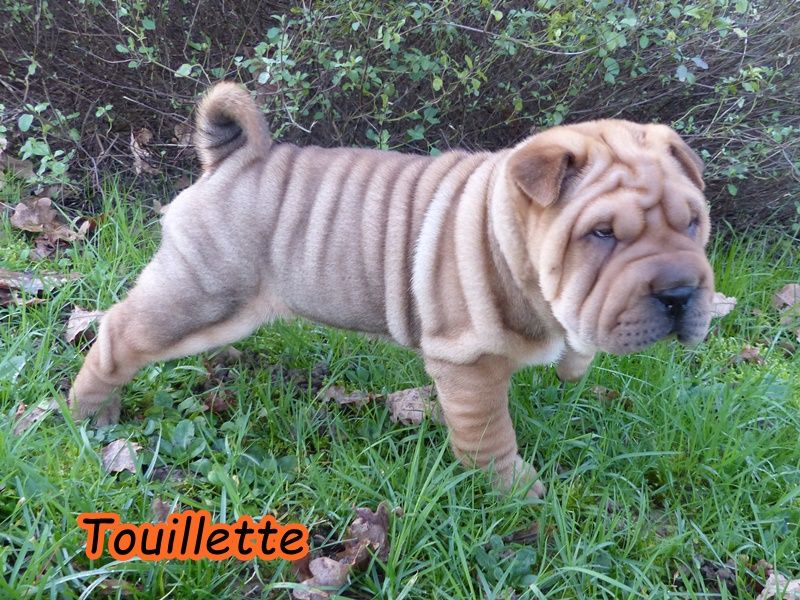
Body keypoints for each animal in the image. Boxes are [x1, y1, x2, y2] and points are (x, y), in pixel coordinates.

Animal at [69, 82, 715, 498]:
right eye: (602, 234)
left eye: (692, 224)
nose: (681, 293)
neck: (507, 239)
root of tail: (232, 158)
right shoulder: (468, 361)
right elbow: (489, 436)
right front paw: (517, 494)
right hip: (198, 291)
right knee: (117, 333)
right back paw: (91, 417)